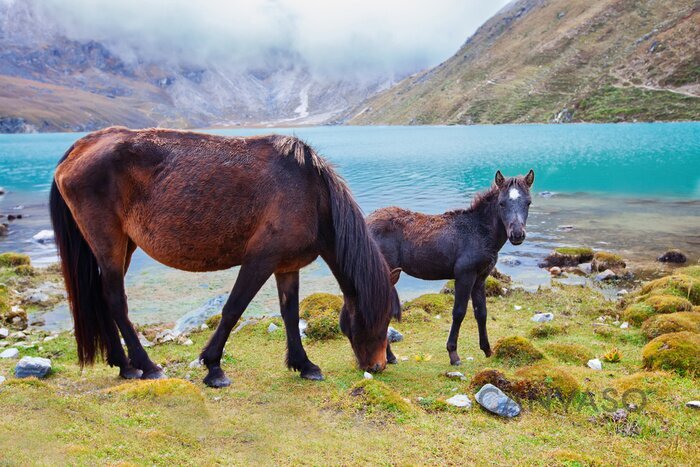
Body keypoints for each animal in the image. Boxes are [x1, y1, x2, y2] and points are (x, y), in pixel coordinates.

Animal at [47, 127, 400, 388]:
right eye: (378, 315)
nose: (379, 365)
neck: (310, 193)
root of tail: (81, 146)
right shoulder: (259, 261)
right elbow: (233, 310)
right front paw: (213, 367)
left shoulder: (286, 266)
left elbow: (290, 314)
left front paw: (304, 364)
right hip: (109, 243)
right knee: (114, 298)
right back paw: (146, 366)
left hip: (124, 246)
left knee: (102, 297)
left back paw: (123, 365)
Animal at [370, 171, 532, 366]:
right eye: (502, 203)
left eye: (528, 202)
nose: (517, 235)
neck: (478, 231)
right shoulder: (465, 275)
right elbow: (459, 312)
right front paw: (453, 354)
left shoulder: (480, 278)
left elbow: (481, 313)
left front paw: (487, 350)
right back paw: (389, 356)